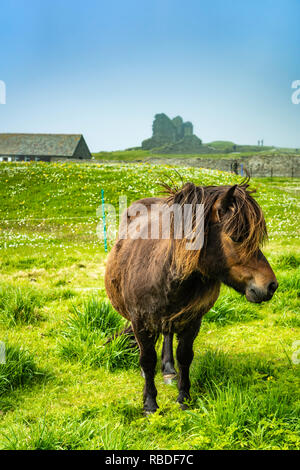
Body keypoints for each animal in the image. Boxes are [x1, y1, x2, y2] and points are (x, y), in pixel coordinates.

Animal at [104, 182, 278, 414]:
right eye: (236, 237)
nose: (271, 285)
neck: (163, 270)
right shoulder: (140, 322)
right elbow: (147, 360)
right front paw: (150, 403)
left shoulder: (192, 320)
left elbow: (184, 356)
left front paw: (184, 398)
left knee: (167, 335)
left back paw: (168, 369)